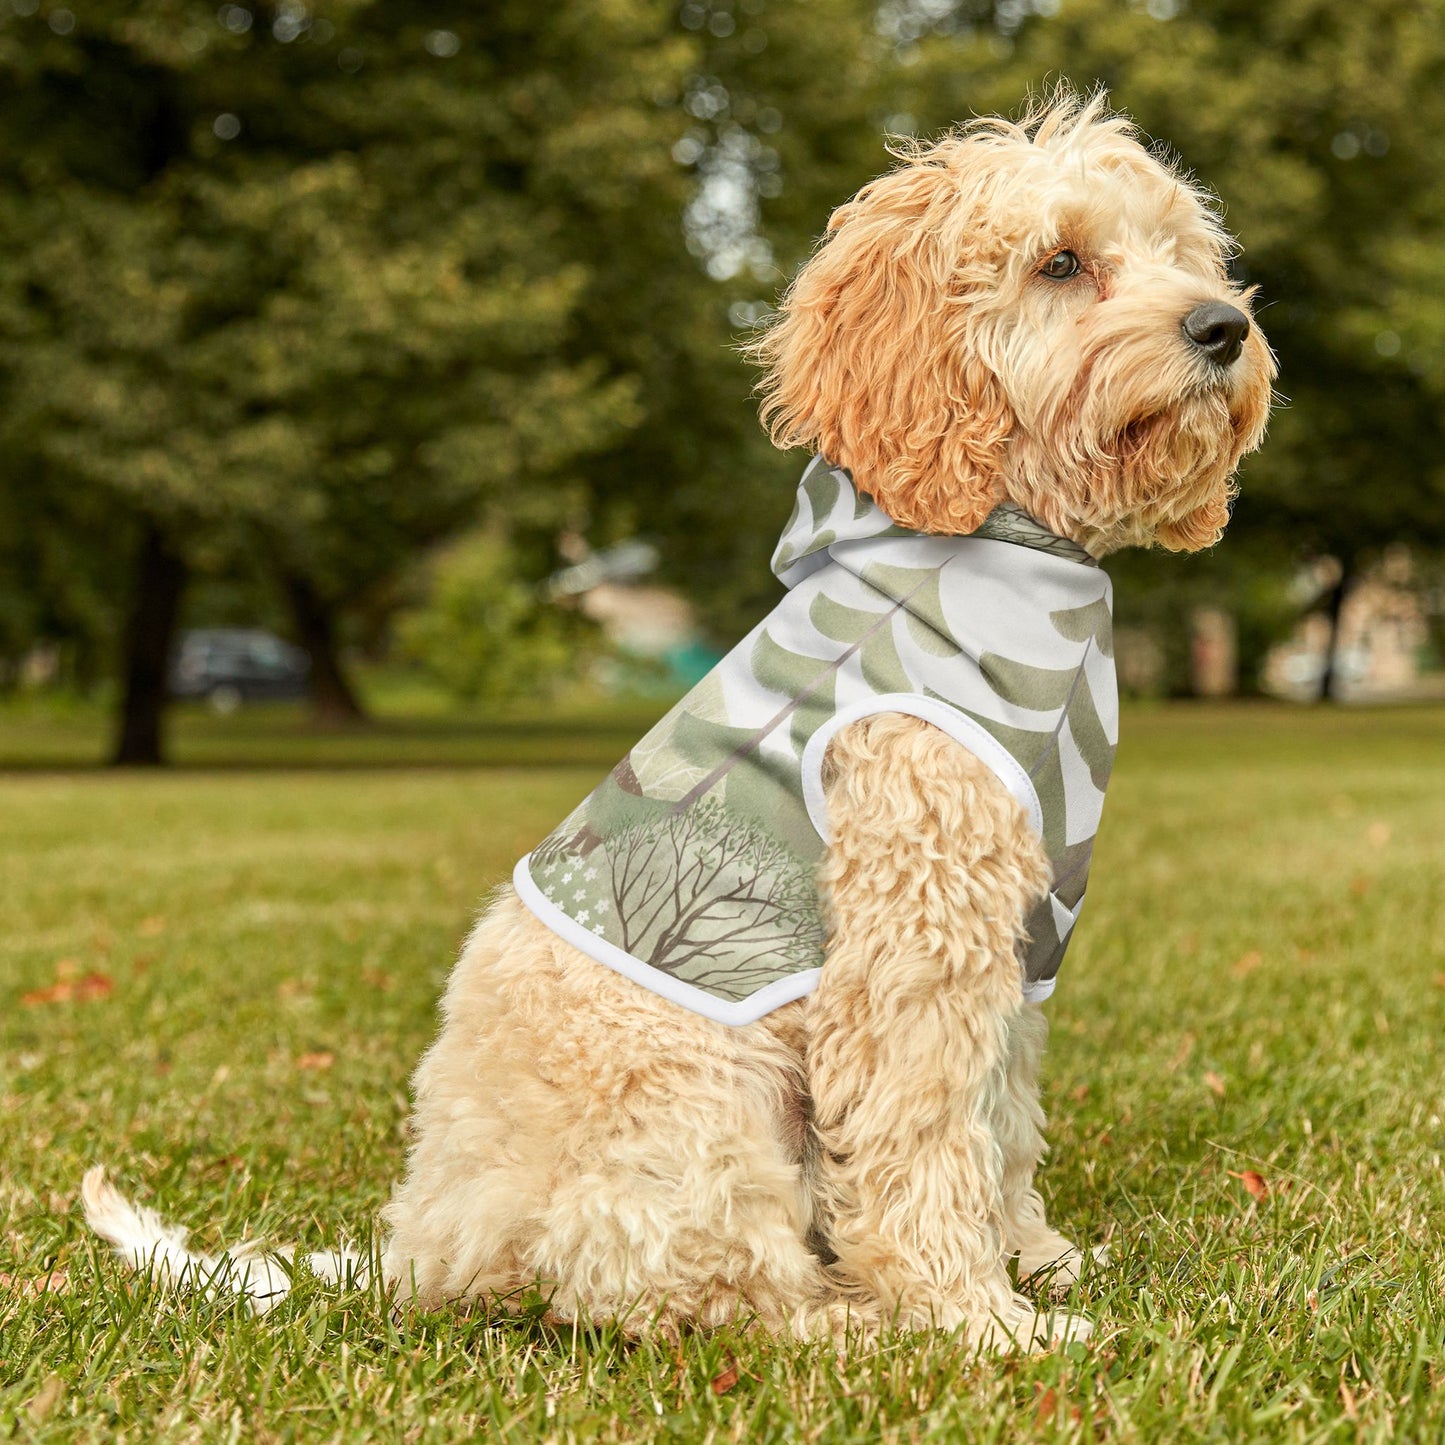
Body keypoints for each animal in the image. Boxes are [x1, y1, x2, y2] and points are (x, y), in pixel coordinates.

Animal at [84, 93, 1271, 1352]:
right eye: (1060, 262)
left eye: (1181, 253)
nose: (1222, 327)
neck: (1007, 547)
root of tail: (424, 1246)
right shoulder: (912, 935)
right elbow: (922, 1134)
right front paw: (976, 1318)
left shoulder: (1017, 934)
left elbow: (999, 1118)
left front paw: (1035, 1259)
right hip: (702, 1100)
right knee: (700, 1291)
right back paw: (852, 1322)